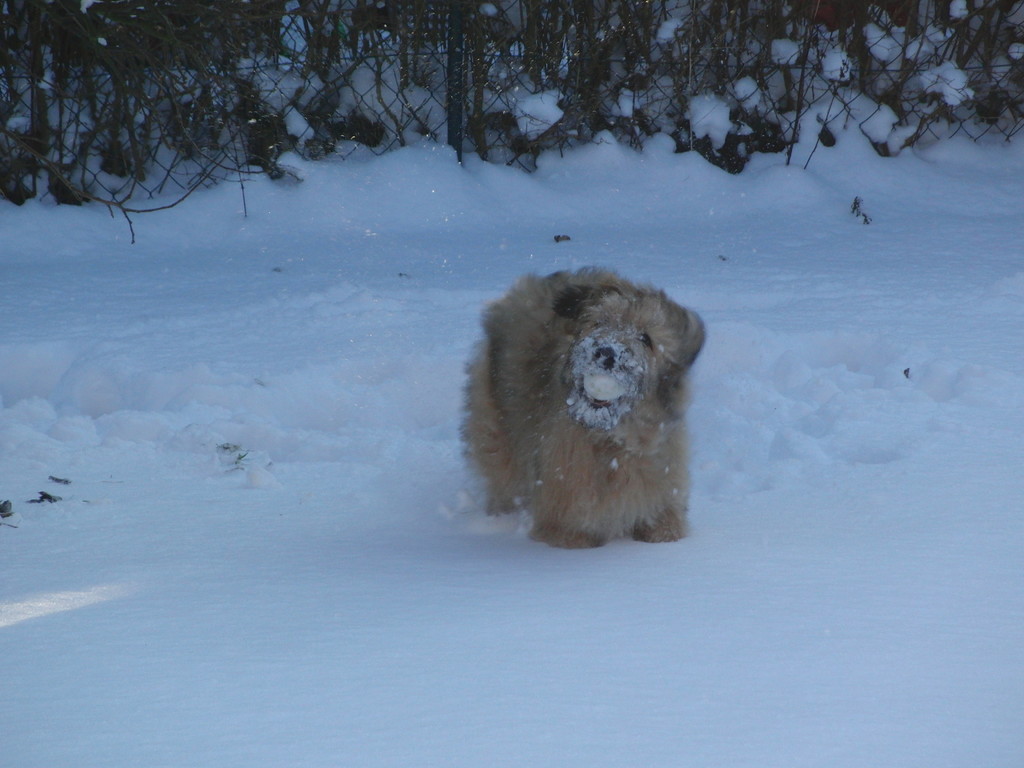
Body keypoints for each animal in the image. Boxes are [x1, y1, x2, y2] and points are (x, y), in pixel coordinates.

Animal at [464, 268, 704, 548]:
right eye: (599, 322)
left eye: (646, 338)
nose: (607, 353)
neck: (612, 440)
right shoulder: (564, 515)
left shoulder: (664, 497)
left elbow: (664, 526)